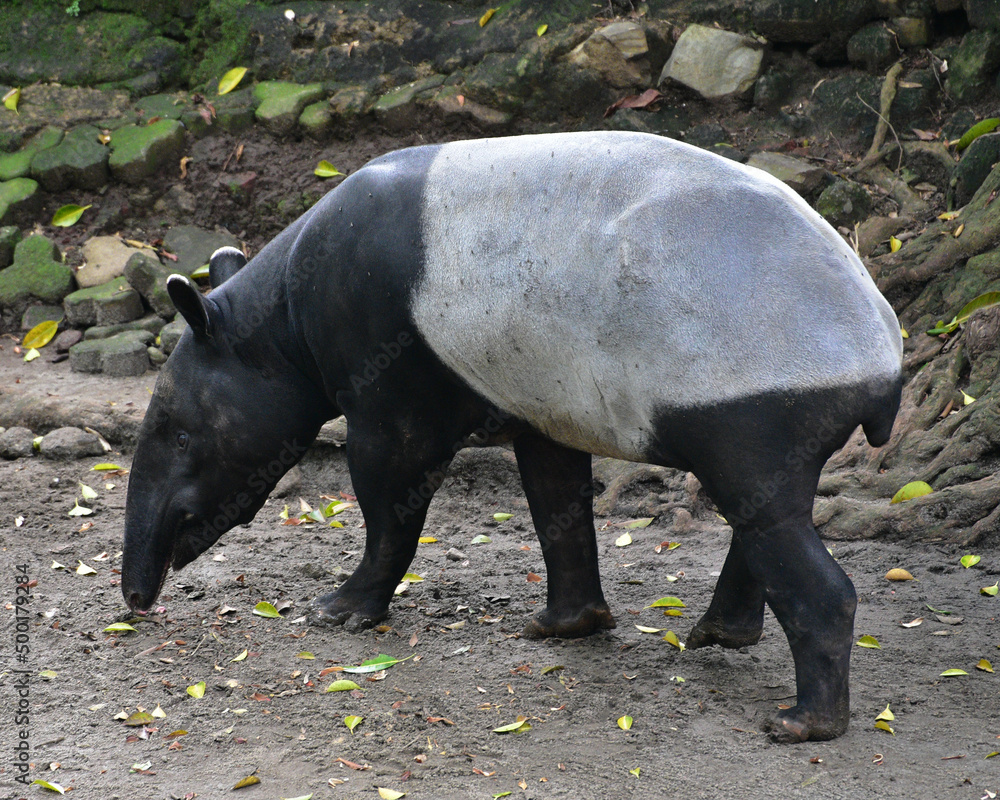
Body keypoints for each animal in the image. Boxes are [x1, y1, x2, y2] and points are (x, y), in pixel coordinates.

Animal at [122, 131, 902, 743]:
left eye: (176, 431)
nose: (136, 596)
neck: (282, 316)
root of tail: (883, 355)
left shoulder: (393, 377)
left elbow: (390, 497)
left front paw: (340, 612)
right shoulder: (540, 394)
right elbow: (556, 502)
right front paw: (567, 625)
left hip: (752, 401)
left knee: (785, 539)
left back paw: (805, 721)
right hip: (775, 422)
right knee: (767, 516)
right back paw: (720, 633)